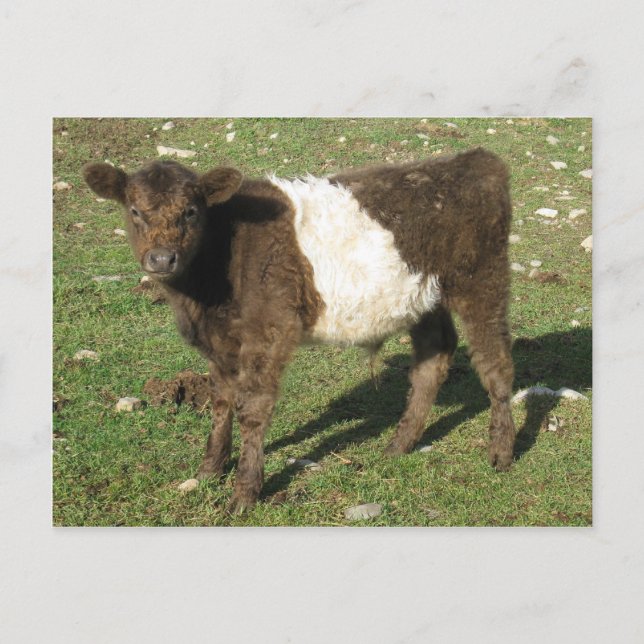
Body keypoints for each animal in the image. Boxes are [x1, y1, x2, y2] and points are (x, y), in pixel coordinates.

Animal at [83, 147, 516, 514]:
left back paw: (502, 453)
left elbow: (253, 410)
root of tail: (474, 159)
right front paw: (209, 470)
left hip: (483, 281)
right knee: (433, 358)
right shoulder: (220, 344)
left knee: (495, 362)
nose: (161, 259)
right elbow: (221, 402)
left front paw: (244, 493)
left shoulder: (270, 331)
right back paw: (398, 445)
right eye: (135, 210)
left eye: (190, 211)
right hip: (423, 296)